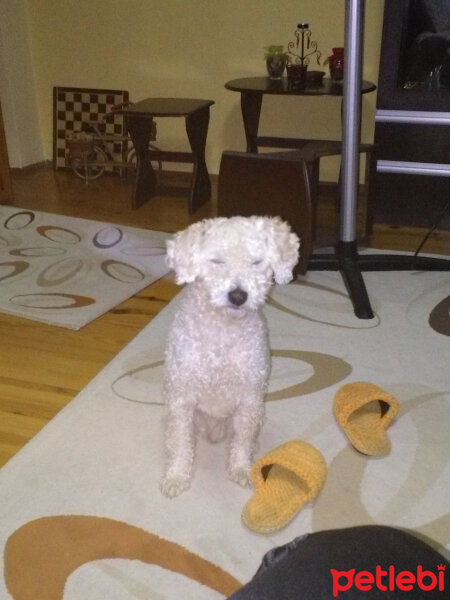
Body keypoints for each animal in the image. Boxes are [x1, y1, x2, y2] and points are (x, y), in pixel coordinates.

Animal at [161, 216, 298, 496]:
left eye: (256, 262)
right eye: (216, 261)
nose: (238, 295)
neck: (223, 331)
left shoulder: (249, 400)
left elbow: (242, 442)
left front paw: (242, 470)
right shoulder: (181, 399)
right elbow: (180, 443)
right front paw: (176, 477)